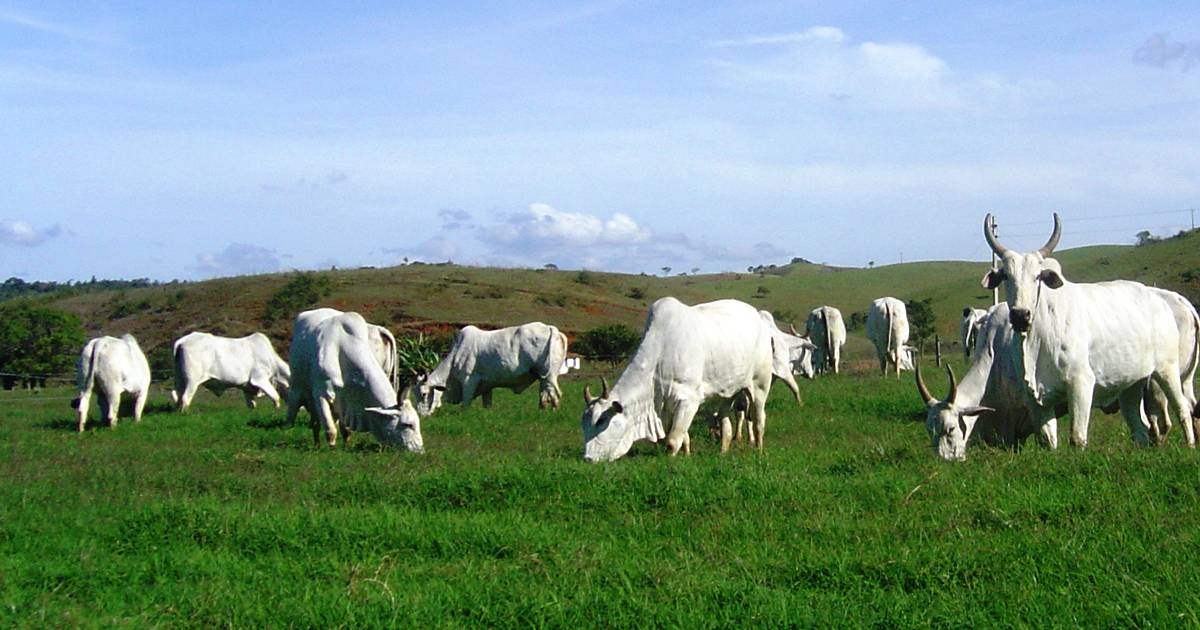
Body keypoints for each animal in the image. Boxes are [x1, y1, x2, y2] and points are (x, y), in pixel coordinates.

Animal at [285, 307, 422, 448]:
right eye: (407, 424)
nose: (419, 449)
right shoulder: (321, 395)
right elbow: (330, 429)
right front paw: (332, 448)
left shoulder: (346, 401)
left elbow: (345, 429)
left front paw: (346, 446)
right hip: (298, 387)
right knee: (298, 414)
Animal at [415, 321, 568, 415]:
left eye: (424, 394)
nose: (420, 414)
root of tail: (550, 328)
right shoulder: (487, 386)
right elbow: (487, 404)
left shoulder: (469, 380)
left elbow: (465, 404)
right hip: (543, 377)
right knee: (544, 395)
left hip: (549, 376)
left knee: (554, 395)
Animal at [583, 297, 777, 458]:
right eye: (583, 422)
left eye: (601, 420)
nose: (588, 458)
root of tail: (759, 318)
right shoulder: (667, 406)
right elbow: (682, 436)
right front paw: (687, 453)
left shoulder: (689, 399)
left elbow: (673, 440)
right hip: (727, 392)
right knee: (725, 422)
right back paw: (723, 451)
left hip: (760, 385)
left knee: (759, 420)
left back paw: (759, 450)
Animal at [979, 212, 1195, 446]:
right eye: (1006, 276)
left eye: (1037, 276)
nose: (1020, 315)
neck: (1038, 336)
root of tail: (1161, 299)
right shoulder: (1036, 398)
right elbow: (1047, 439)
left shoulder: (1080, 382)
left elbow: (1076, 437)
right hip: (1131, 384)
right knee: (1140, 429)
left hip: (1167, 370)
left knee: (1182, 409)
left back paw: (1191, 445)